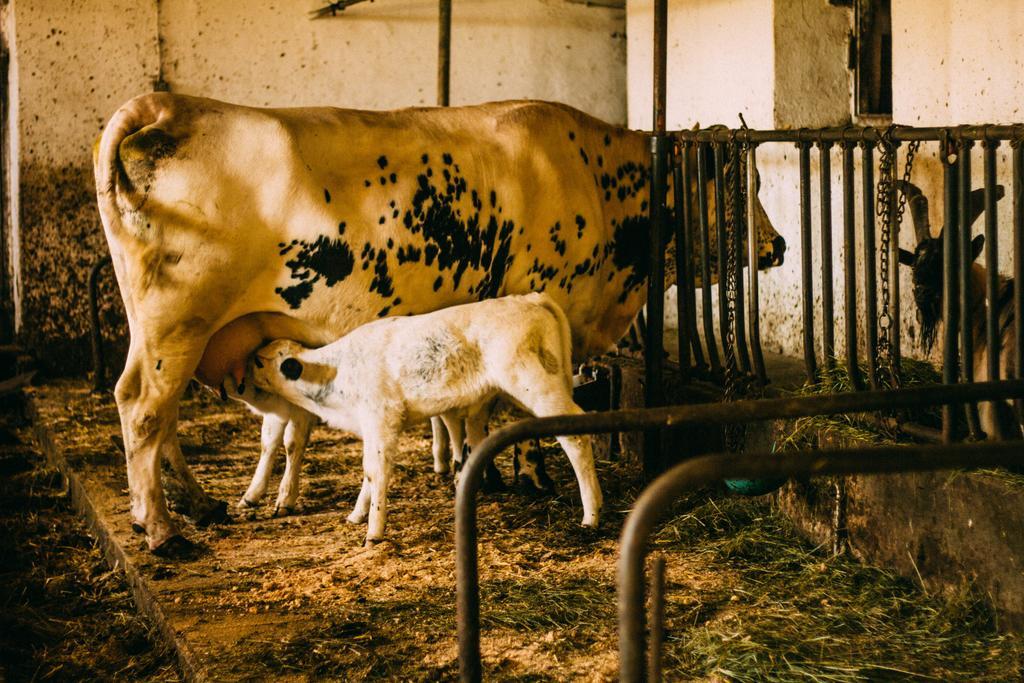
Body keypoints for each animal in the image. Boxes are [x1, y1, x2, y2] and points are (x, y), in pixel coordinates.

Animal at [247, 294, 598, 544]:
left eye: (260, 361)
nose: (240, 376)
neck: (337, 370)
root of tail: (529, 298)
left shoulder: (383, 420)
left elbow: (378, 472)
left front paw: (374, 532)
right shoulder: (370, 426)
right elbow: (368, 473)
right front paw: (357, 515)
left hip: (539, 387)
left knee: (577, 437)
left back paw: (591, 515)